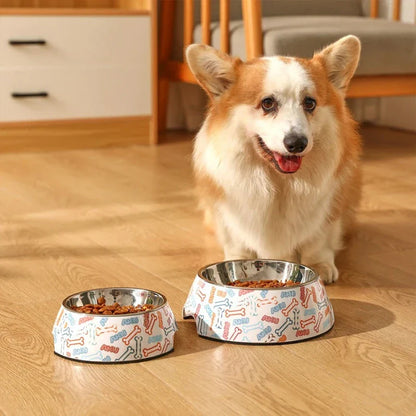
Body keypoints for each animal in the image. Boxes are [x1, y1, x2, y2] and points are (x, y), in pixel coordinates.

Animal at [187, 36, 362, 282]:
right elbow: (237, 241)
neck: (278, 182)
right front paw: (237, 263)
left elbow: (317, 241)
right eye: (267, 103)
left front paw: (320, 266)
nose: (297, 143)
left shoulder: (329, 208)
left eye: (310, 103)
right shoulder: (228, 212)